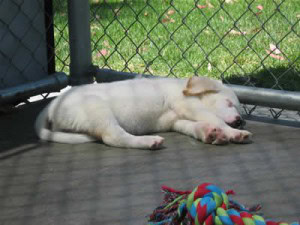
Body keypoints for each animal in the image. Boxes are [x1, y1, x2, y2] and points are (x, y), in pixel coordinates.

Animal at [34, 76, 251, 149]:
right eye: (229, 103)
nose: (239, 121)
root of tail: (52, 104)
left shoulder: (176, 120)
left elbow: (194, 126)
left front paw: (209, 133)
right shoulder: (188, 105)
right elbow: (214, 118)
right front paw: (235, 133)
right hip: (97, 109)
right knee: (113, 137)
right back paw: (147, 142)